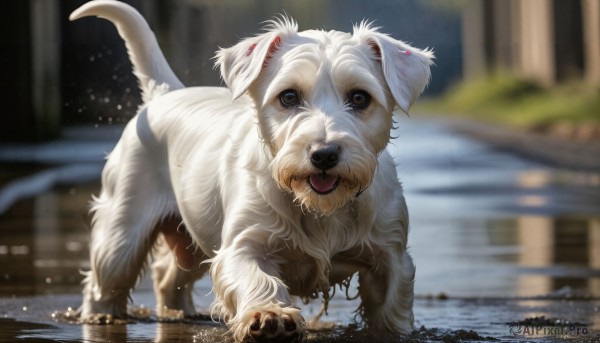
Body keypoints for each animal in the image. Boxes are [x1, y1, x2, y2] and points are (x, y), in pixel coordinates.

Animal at [71, 1, 432, 342]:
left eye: (359, 97)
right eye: (288, 96)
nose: (324, 154)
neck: (319, 209)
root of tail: (165, 93)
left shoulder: (390, 256)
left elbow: (391, 306)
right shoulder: (242, 245)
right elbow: (255, 277)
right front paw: (270, 315)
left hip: (192, 238)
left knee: (168, 276)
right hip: (122, 233)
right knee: (105, 280)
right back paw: (101, 316)